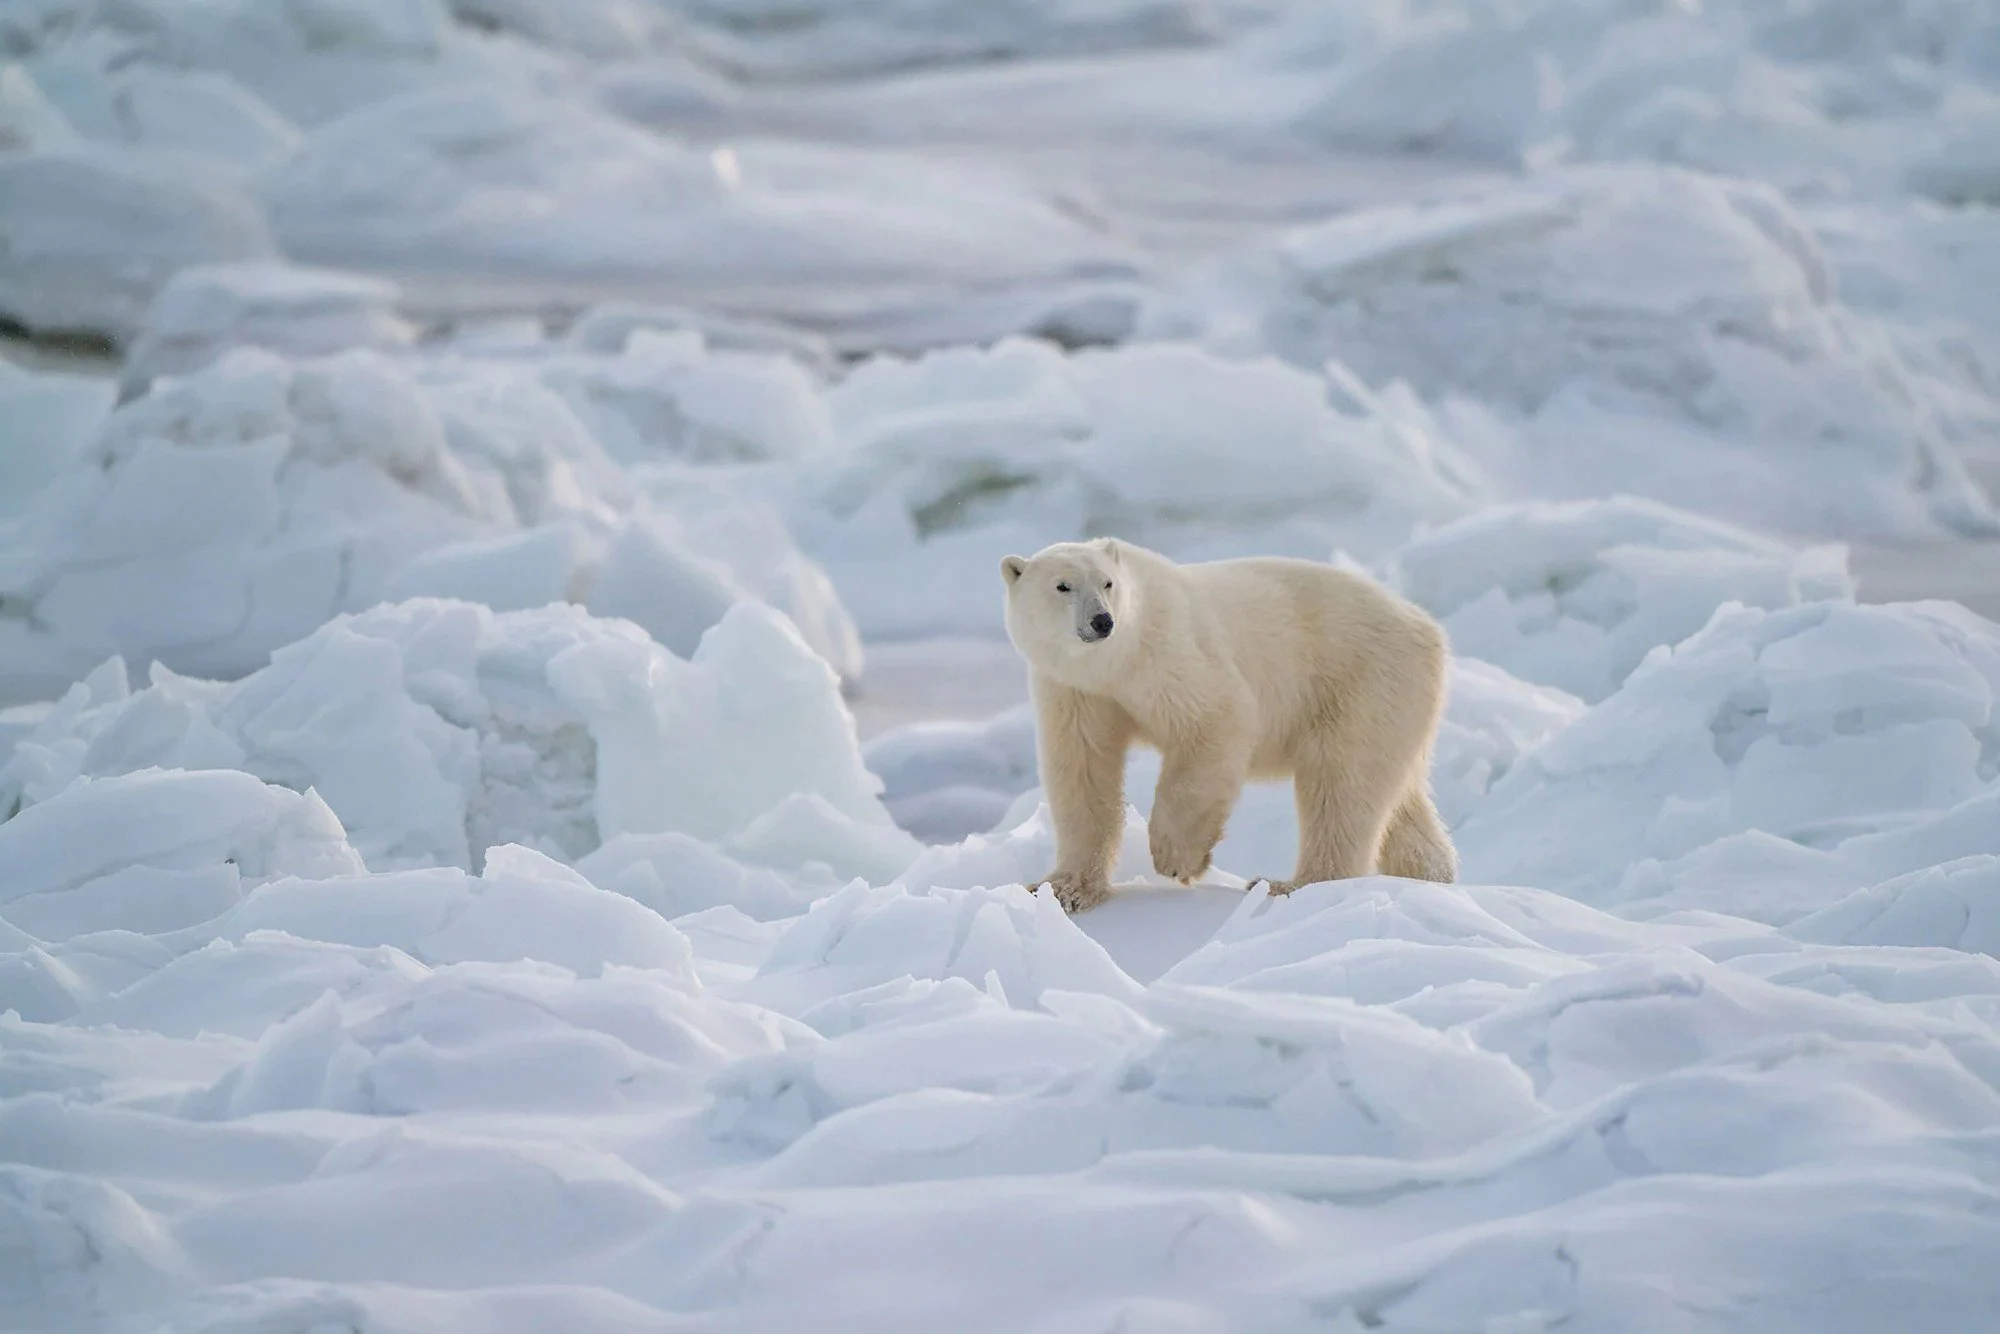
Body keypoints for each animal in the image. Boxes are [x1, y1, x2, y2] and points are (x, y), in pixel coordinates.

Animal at [1000, 536, 1456, 912]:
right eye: (1062, 586)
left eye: (1107, 583)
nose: (1102, 621)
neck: (1114, 665)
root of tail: (1426, 626)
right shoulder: (1076, 690)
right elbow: (1083, 770)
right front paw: (1061, 889)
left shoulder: (1168, 652)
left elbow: (1217, 719)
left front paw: (1176, 858)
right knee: (1394, 795)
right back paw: (1430, 876)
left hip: (1361, 679)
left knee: (1342, 781)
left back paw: (1288, 885)